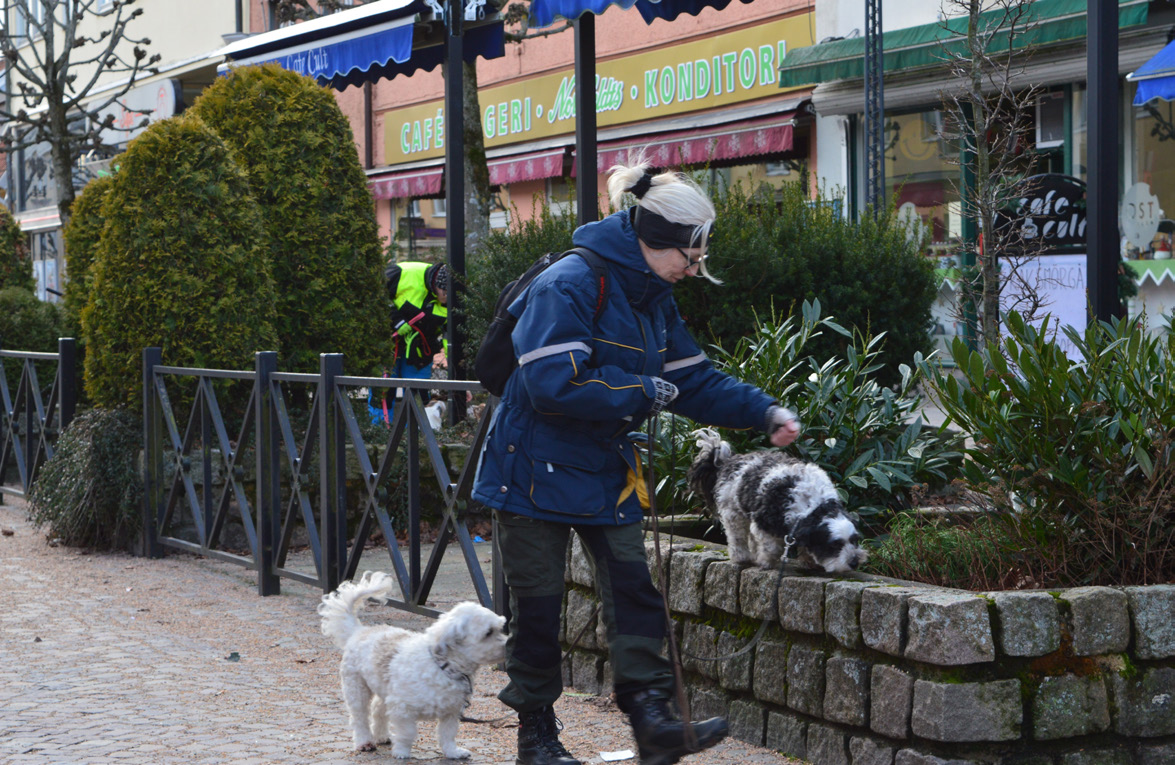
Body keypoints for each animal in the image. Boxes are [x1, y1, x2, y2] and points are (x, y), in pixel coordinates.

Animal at [319, 571, 507, 756]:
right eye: (488, 632)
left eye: (500, 628)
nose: (508, 644)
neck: (443, 667)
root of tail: (359, 631)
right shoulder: (402, 709)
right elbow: (407, 733)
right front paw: (402, 752)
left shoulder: (451, 711)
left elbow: (448, 734)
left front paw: (453, 752)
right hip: (357, 689)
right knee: (359, 717)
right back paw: (364, 741)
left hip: (383, 688)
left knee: (378, 710)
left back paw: (381, 736)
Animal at [686, 427, 869, 571]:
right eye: (834, 545)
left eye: (855, 540)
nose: (854, 562)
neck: (812, 504)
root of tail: (728, 461)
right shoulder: (763, 522)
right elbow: (772, 547)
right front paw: (766, 562)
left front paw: (809, 561)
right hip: (733, 512)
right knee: (737, 536)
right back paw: (742, 557)